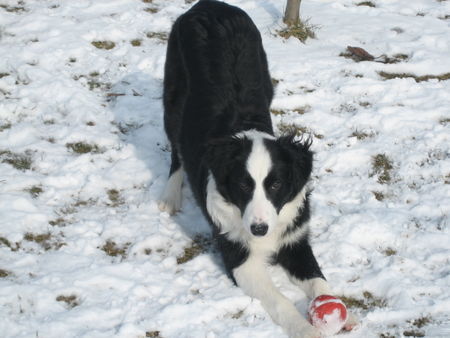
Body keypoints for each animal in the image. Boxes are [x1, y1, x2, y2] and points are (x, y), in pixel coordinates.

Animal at [160, 1, 356, 336]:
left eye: (276, 185)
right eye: (243, 185)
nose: (259, 230)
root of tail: (209, 5)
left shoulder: (295, 240)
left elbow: (318, 279)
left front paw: (340, 311)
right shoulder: (238, 257)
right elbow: (279, 300)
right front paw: (305, 328)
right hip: (174, 92)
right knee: (176, 147)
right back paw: (170, 195)